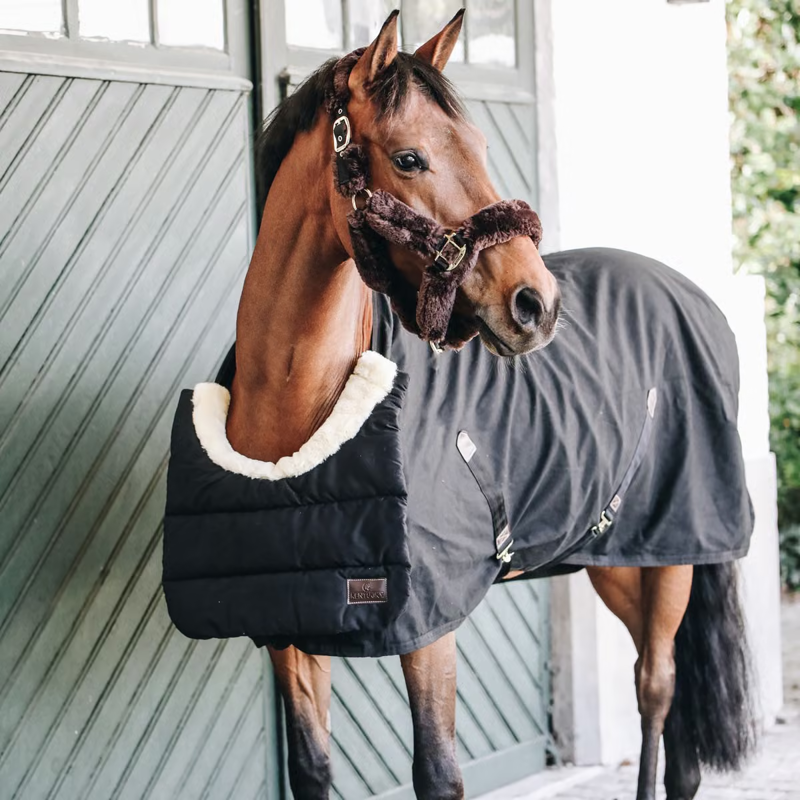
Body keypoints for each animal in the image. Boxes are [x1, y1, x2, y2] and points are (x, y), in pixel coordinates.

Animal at [162, 10, 756, 800]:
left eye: (479, 146)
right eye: (410, 158)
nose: (537, 304)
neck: (299, 412)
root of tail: (690, 293)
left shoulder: (431, 630)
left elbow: (438, 772)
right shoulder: (291, 630)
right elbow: (312, 768)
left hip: (677, 553)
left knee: (656, 685)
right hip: (614, 553)